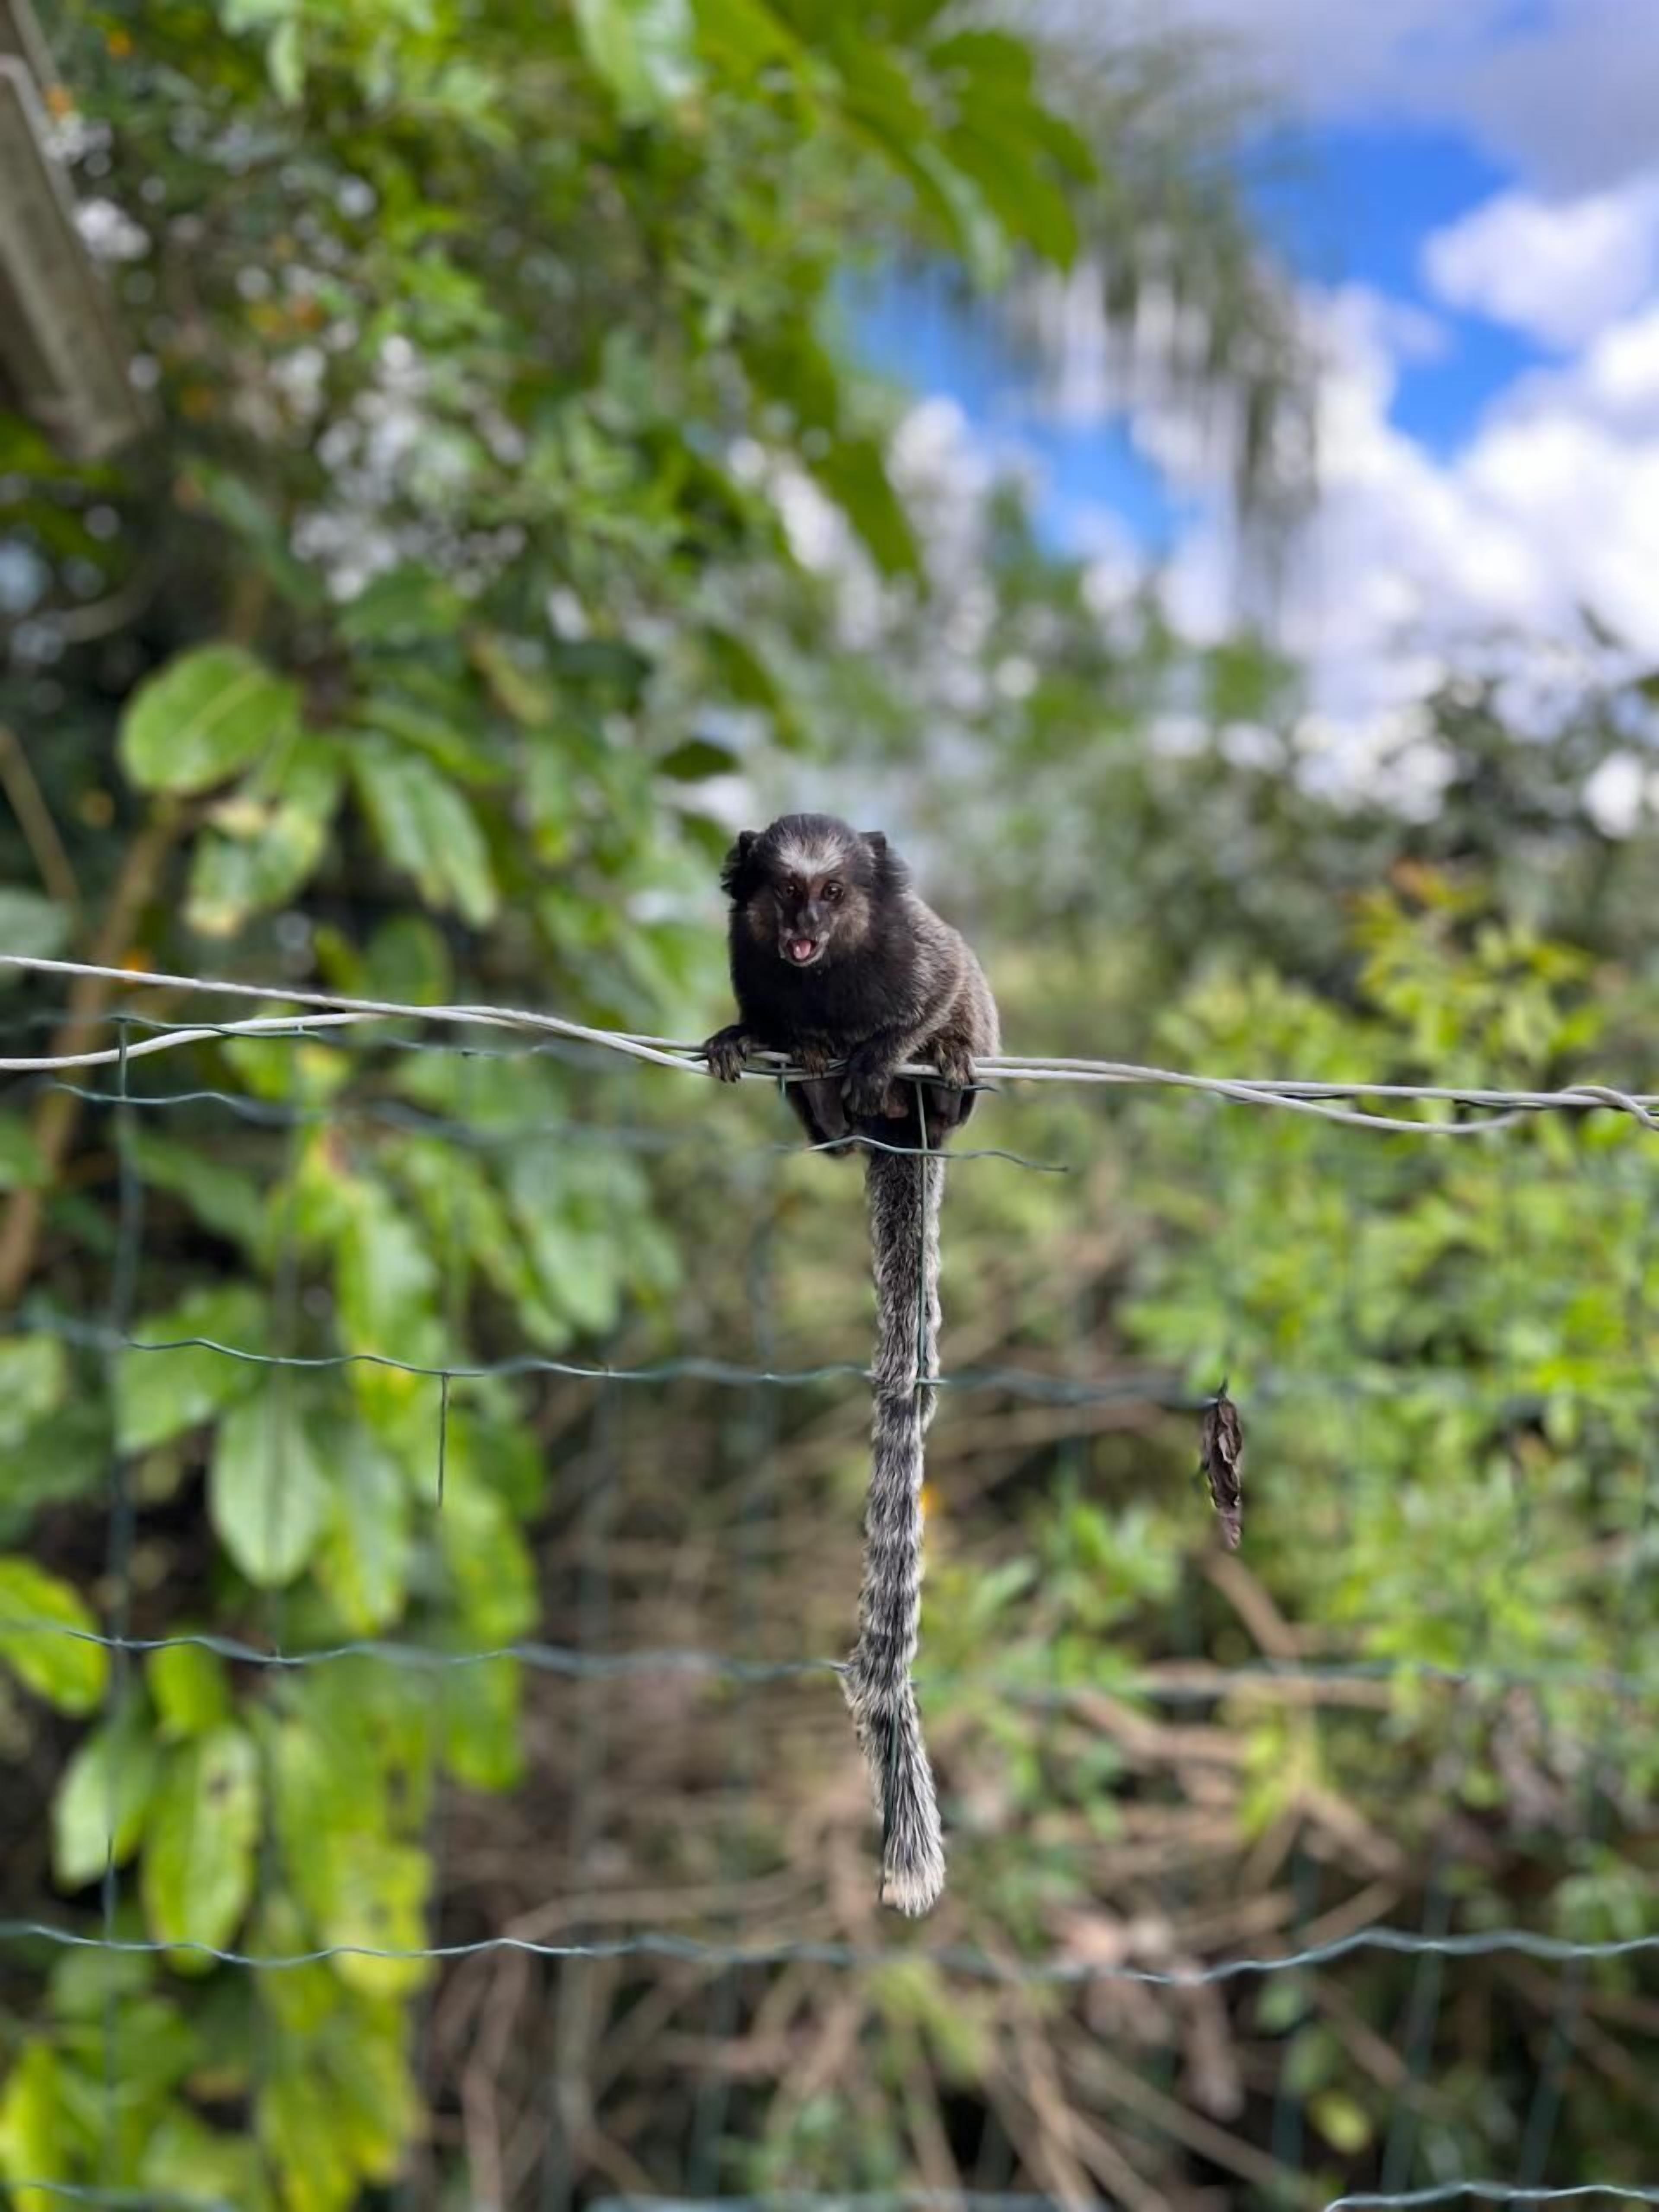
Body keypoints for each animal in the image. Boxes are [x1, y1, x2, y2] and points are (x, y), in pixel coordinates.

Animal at [703, 813, 1000, 1915]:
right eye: (785, 892)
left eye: (833, 893)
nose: (803, 928)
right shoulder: (750, 960)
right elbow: (760, 1017)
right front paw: (749, 1037)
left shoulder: (916, 955)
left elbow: (938, 986)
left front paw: (891, 1047)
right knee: (825, 1127)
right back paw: (825, 1089)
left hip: (948, 1096)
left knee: (955, 1047)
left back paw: (929, 1075)